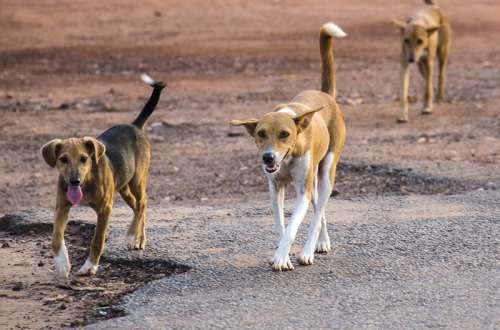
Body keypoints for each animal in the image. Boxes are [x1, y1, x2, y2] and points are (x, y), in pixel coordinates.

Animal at [41, 75, 166, 278]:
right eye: (63, 159)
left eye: (84, 159)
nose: (74, 181)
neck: (86, 182)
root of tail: (135, 125)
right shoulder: (62, 207)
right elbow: (56, 237)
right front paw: (61, 264)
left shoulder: (105, 209)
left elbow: (97, 239)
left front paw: (90, 266)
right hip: (123, 188)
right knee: (138, 207)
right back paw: (140, 238)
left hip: (137, 180)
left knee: (142, 202)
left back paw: (131, 236)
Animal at [231, 22, 346, 270]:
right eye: (260, 134)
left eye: (285, 134)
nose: (268, 157)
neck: (288, 157)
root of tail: (326, 95)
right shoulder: (275, 188)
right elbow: (281, 226)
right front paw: (280, 252)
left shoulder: (302, 191)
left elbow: (293, 227)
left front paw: (283, 258)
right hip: (313, 182)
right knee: (318, 210)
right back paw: (320, 242)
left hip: (325, 174)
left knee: (318, 212)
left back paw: (309, 251)